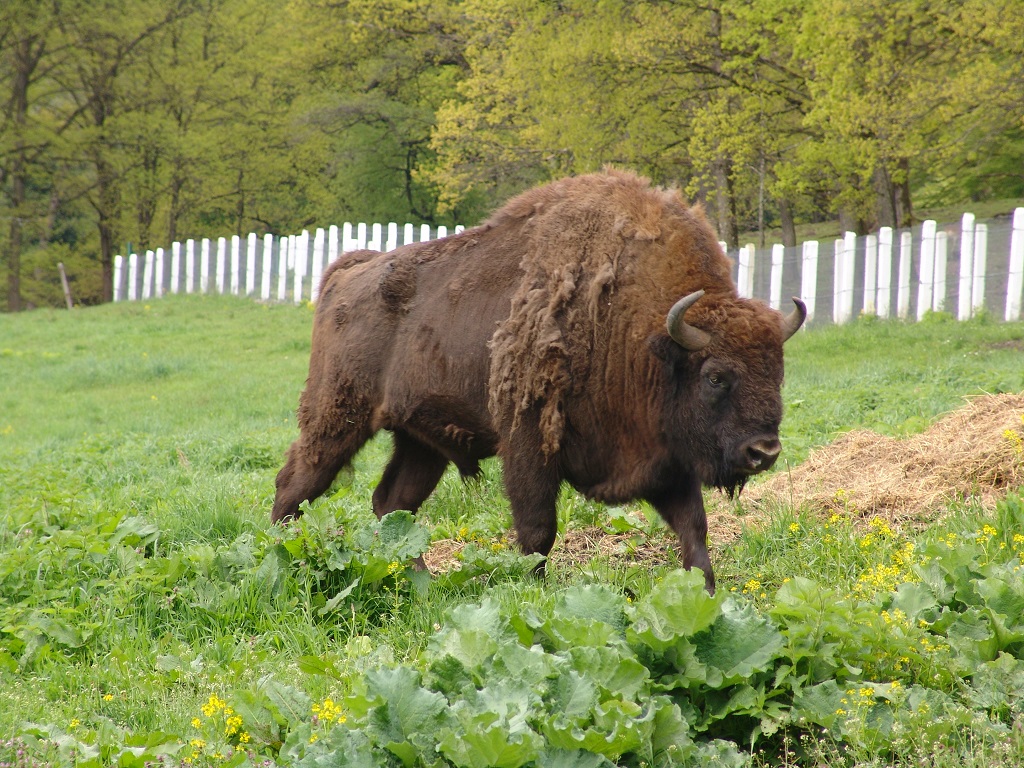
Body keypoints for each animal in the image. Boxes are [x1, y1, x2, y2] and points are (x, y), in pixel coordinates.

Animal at [272, 170, 805, 593]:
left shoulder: (664, 461)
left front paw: (707, 595)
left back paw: (422, 583)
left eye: (778, 371)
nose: (764, 451)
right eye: (715, 376)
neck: (643, 334)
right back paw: (280, 560)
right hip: (337, 417)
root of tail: (349, 271)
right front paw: (534, 593)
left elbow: (694, 528)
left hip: (421, 441)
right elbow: (537, 530)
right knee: (295, 483)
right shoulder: (529, 443)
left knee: (393, 503)